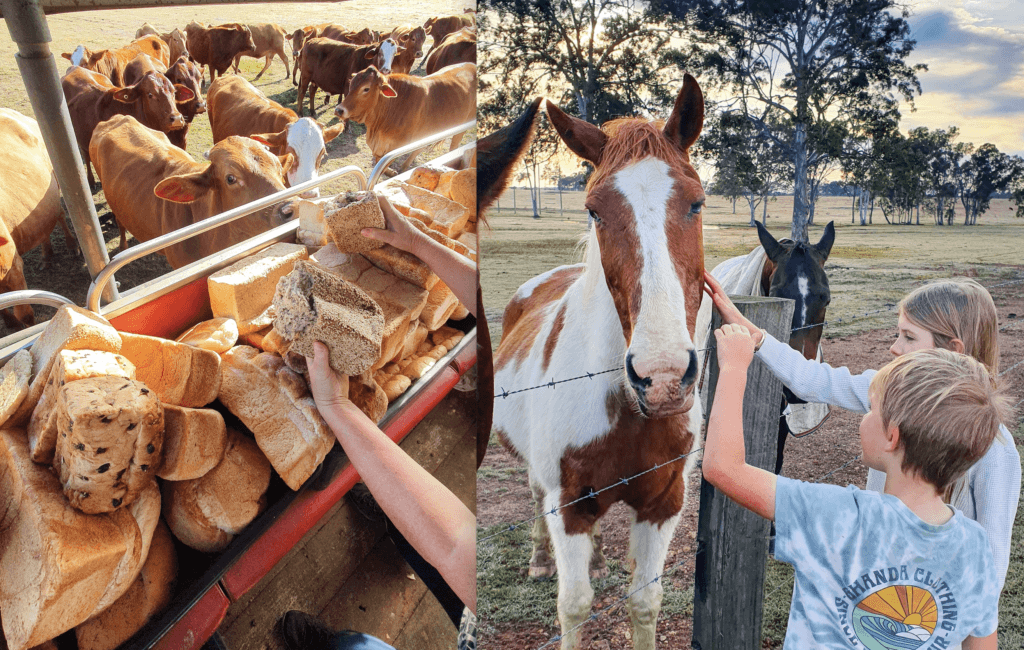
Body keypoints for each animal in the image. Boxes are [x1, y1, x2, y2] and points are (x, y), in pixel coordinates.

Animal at [0, 110, 78, 329]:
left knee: (59, 214)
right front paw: (10, 323)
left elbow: (25, 314)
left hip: (54, 183)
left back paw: (71, 246)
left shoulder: (13, 269)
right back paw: (47, 256)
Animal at [61, 66, 193, 187]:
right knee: (86, 156)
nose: (176, 118)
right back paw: (91, 181)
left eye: (174, 92)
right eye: (150, 94)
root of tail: (74, 68)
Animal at [493, 75, 704, 646]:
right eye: (593, 209)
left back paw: (601, 560)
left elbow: (645, 602)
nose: (663, 377)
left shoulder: (664, 503)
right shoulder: (567, 503)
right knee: (533, 495)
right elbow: (574, 605)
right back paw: (540, 560)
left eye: (697, 203)